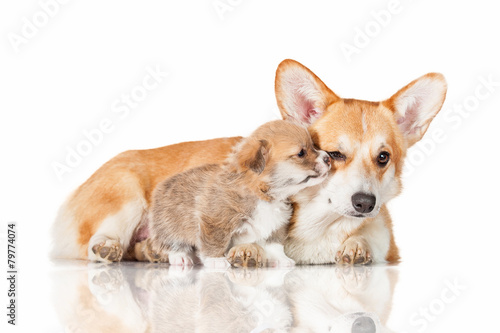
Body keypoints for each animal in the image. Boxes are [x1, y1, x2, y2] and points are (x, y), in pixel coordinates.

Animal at [143, 119, 330, 268]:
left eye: (314, 146)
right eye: (301, 153)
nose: (328, 158)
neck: (264, 196)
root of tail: (164, 184)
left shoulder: (277, 225)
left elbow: (275, 245)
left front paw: (281, 259)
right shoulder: (215, 221)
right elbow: (215, 242)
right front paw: (215, 260)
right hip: (170, 224)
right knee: (171, 244)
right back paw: (181, 258)